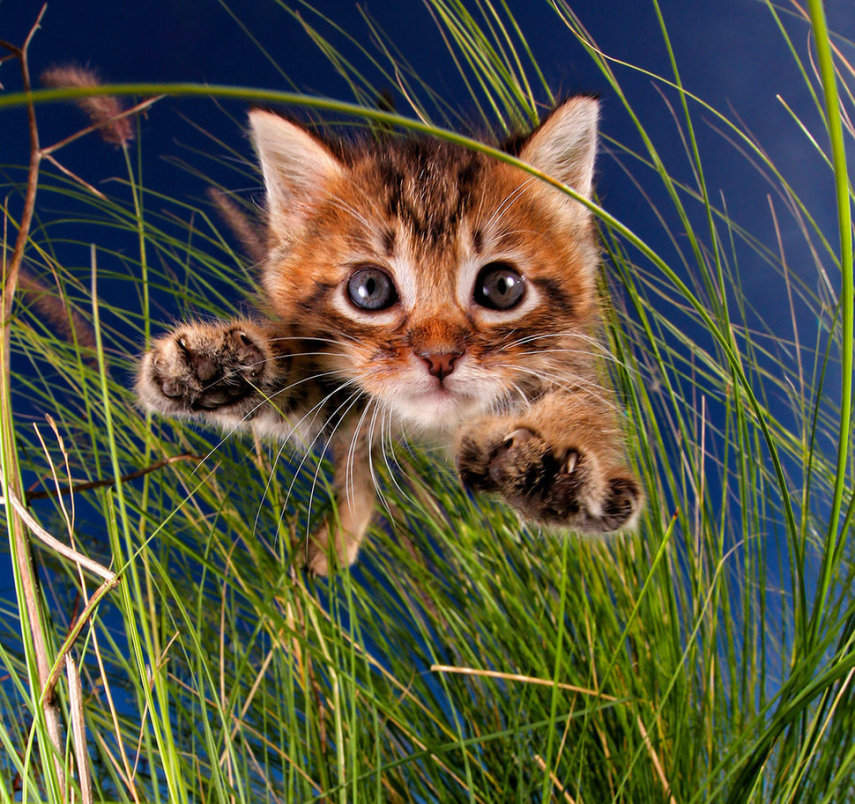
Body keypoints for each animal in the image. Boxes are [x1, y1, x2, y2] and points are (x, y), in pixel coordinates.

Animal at [135, 97, 640, 576]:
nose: (439, 358)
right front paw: (216, 368)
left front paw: (556, 471)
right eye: (369, 289)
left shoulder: (569, 356)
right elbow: (301, 380)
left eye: (501, 287)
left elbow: (582, 408)